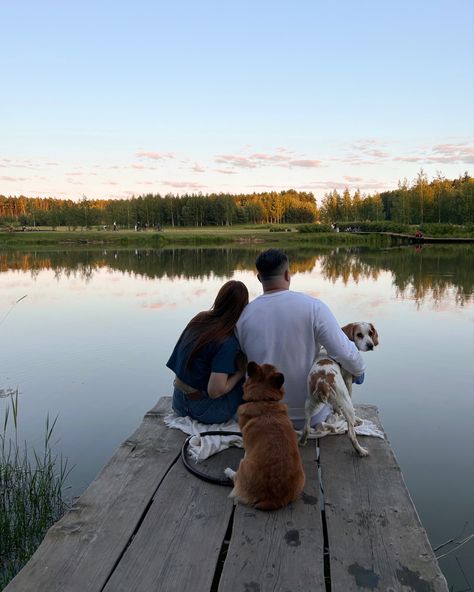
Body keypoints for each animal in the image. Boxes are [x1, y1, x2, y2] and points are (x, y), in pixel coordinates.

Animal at [298, 324, 380, 458]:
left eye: (370, 333)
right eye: (359, 335)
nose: (370, 345)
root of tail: (322, 382)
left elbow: (336, 407)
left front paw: (337, 412)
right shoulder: (348, 381)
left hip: (309, 404)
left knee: (306, 428)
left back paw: (302, 441)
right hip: (346, 402)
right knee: (351, 434)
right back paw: (361, 450)